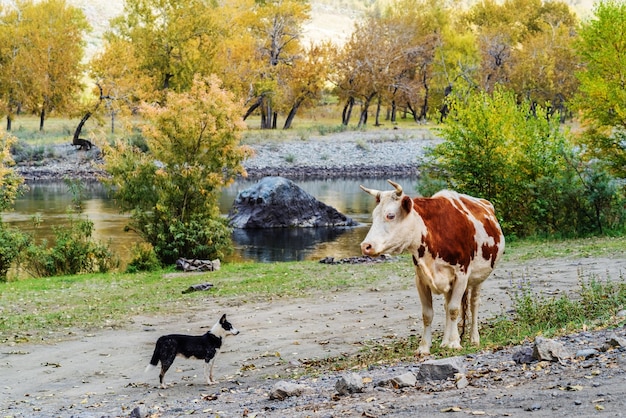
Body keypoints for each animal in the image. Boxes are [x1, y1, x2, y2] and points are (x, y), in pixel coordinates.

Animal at [358, 180, 500, 356]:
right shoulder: (421, 279)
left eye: (390, 215)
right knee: (447, 305)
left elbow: (454, 310)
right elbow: (428, 314)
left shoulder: (462, 275)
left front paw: (455, 343)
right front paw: (425, 347)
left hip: (478, 278)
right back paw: (445, 341)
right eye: (373, 216)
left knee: (474, 304)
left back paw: (474, 339)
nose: (365, 246)